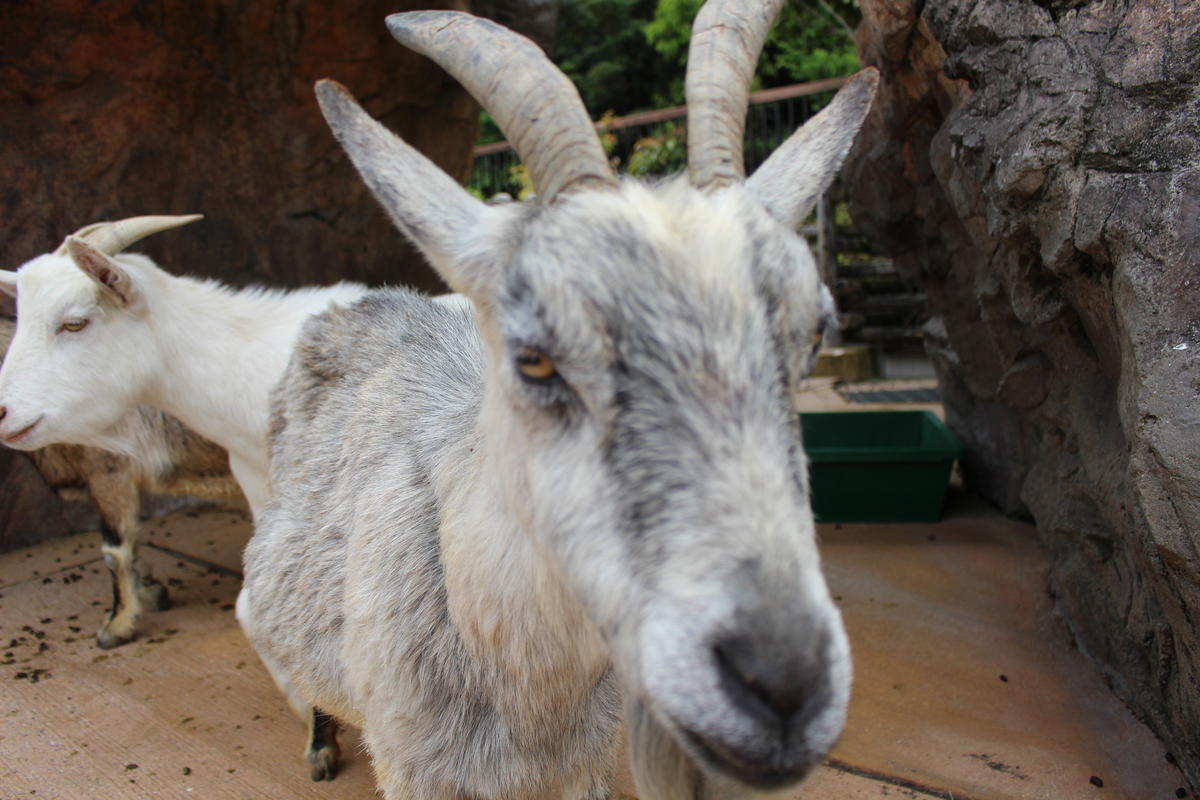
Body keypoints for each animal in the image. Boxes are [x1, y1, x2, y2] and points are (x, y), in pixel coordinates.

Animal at [241, 3, 883, 796]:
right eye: (535, 358)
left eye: (815, 333)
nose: (784, 684)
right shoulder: (413, 766)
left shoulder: (587, 767)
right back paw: (320, 745)